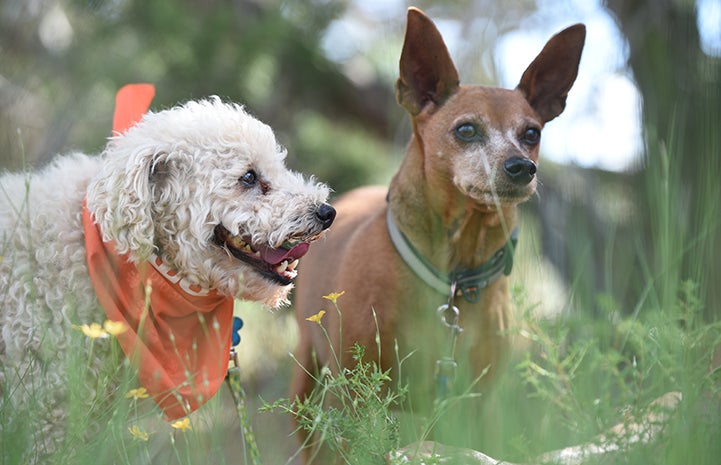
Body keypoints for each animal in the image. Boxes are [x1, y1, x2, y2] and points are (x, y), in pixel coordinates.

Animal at [292, 5, 584, 454]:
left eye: (531, 133)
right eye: (466, 129)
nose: (522, 167)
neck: (453, 273)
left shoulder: (475, 403)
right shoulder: (356, 397)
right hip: (306, 381)